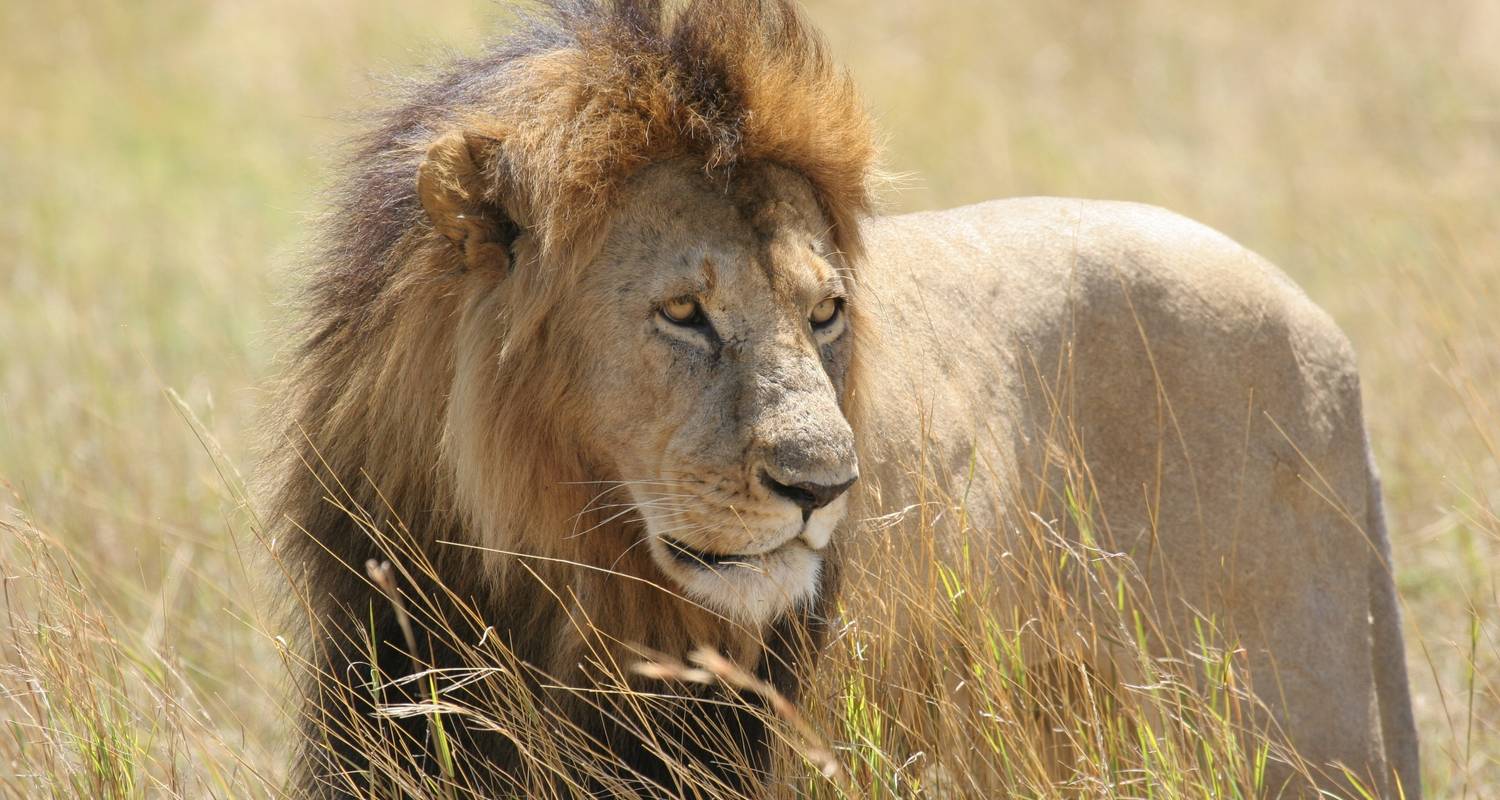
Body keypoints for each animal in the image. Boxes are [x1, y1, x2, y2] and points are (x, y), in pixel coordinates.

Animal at [270, 1, 1416, 798]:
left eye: (825, 311)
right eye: (683, 311)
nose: (826, 487)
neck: (550, 575)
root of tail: (1327, 336)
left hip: (1298, 731)